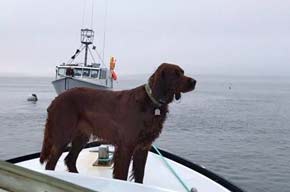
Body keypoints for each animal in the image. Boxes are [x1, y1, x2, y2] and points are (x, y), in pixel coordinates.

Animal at [39, 63, 196, 183]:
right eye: (176, 74)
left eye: (182, 72)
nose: (194, 81)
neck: (152, 103)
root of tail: (56, 99)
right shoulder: (126, 146)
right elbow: (122, 175)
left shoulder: (143, 147)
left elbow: (140, 175)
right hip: (63, 136)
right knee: (51, 164)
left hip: (81, 136)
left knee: (70, 159)